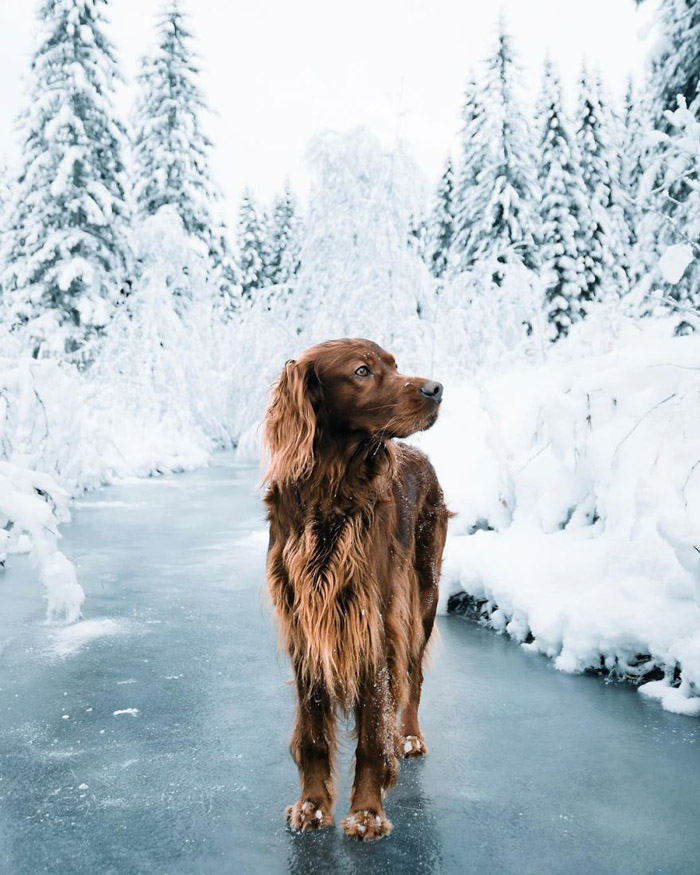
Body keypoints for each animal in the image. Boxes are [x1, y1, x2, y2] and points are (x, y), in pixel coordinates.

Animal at [262, 338, 448, 840]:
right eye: (362, 370)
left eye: (395, 365)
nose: (437, 388)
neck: (332, 490)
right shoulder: (308, 625)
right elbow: (312, 732)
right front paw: (312, 806)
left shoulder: (373, 625)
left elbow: (371, 733)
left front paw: (367, 812)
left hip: (422, 600)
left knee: (413, 677)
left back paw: (409, 736)